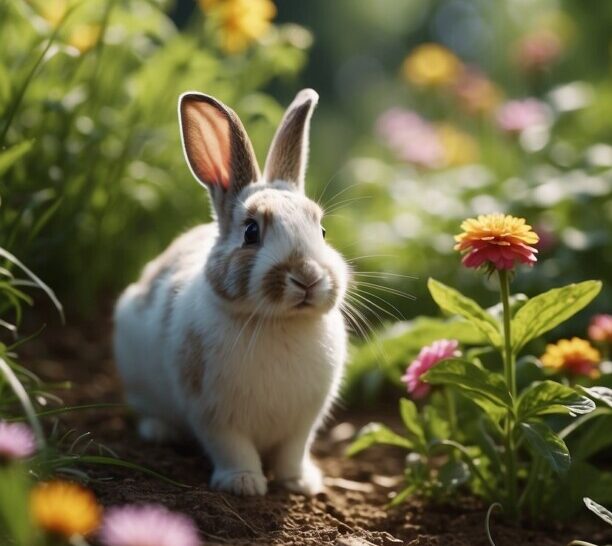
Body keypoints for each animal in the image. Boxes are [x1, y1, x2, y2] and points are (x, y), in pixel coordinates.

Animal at [112, 88, 346, 492]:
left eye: (322, 231)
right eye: (251, 232)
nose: (308, 277)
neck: (278, 322)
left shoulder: (303, 423)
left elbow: (293, 452)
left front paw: (300, 483)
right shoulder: (213, 415)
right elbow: (233, 449)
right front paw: (243, 484)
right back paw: (159, 431)